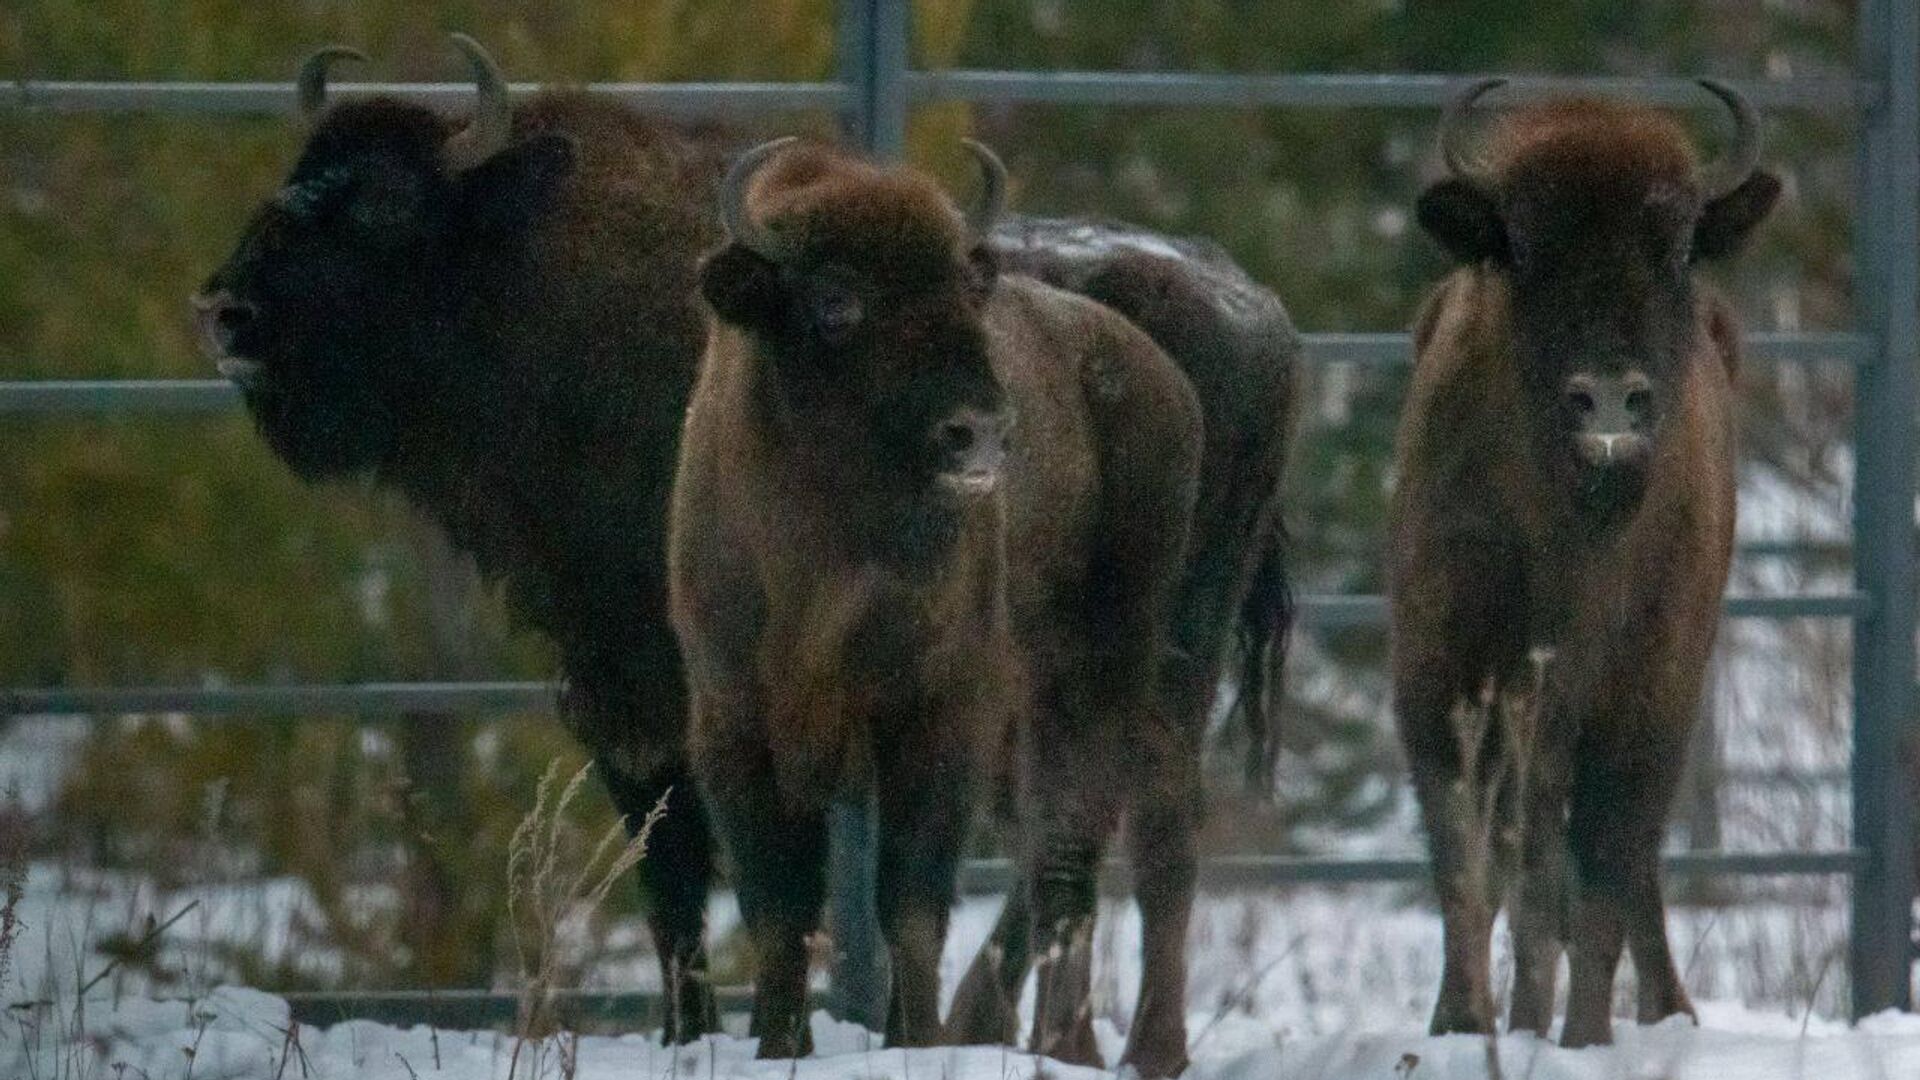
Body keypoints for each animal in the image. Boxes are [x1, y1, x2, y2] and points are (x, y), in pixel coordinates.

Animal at [191, 37, 737, 1037]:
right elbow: (668, 874)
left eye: (385, 204)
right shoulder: (614, 689)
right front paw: (690, 1034)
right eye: (295, 177)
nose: (225, 313)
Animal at [668, 141, 1190, 1060]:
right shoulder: (733, 723)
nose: (978, 432)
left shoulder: (937, 714)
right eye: (836, 300)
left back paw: (1072, 1049)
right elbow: (778, 908)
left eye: (960, 289)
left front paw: (916, 1041)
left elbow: (908, 900)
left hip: (1099, 674)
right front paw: (779, 1046)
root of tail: (1160, 375)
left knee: (1072, 853)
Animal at [1390, 77, 1774, 1045]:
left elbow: (1600, 874)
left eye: (1678, 248)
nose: (1607, 401)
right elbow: (1473, 865)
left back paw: (1666, 1010)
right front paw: (1464, 1024)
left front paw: (1586, 1039)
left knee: (1620, 871)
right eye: (1523, 246)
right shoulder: (1445, 675)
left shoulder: (1646, 696)